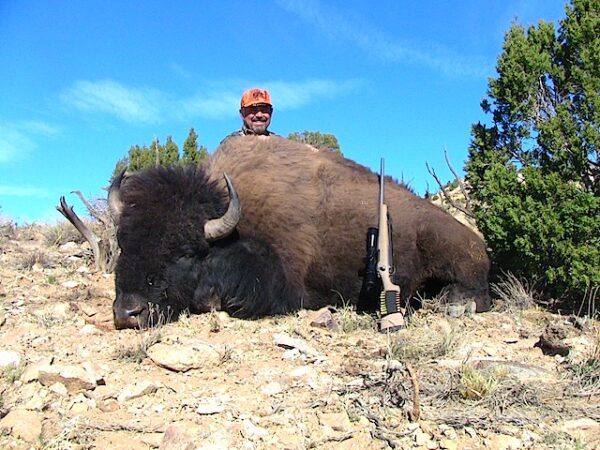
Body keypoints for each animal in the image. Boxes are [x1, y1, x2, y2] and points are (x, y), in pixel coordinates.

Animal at [109, 135, 492, 328]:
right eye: (123, 245)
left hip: (450, 248)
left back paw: (455, 304)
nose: (128, 313)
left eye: (186, 252)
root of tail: (478, 242)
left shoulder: (286, 285)